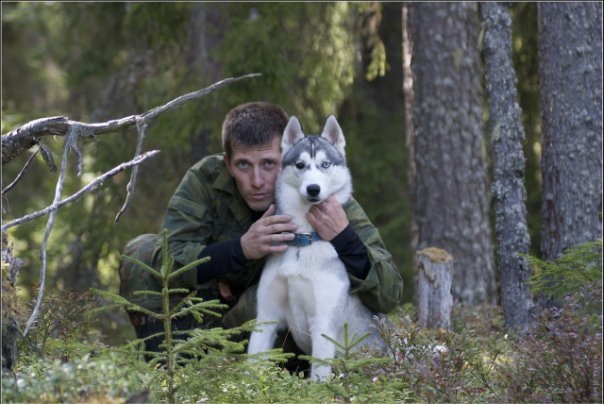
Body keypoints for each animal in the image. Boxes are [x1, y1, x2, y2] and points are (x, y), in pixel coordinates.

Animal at [247, 115, 384, 380]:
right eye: (300, 165)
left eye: (325, 164)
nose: (313, 189)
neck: (303, 239)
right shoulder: (266, 318)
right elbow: (252, 366)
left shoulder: (323, 324)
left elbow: (319, 380)